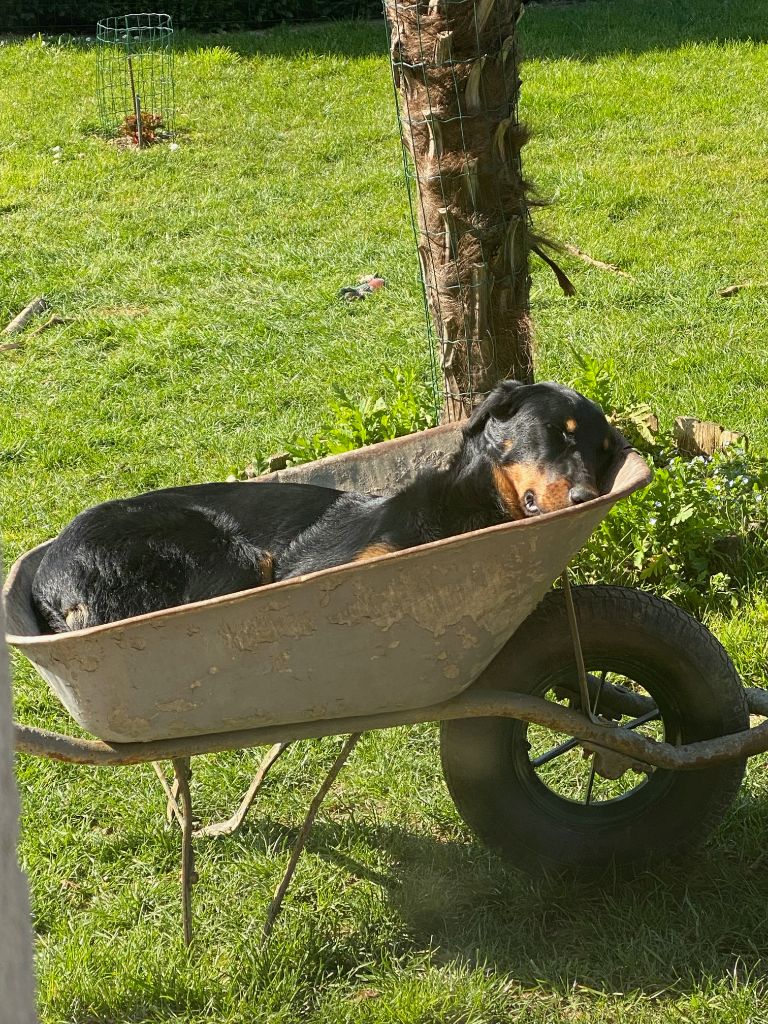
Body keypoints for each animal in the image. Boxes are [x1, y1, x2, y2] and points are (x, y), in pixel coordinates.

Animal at [30, 378, 622, 630]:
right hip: (232, 557)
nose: (587, 497)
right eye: (559, 433)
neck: (471, 510)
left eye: (603, 453)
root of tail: (48, 582)